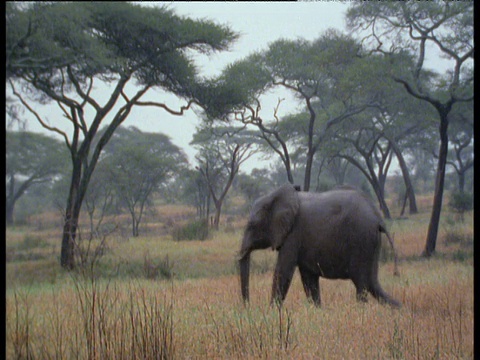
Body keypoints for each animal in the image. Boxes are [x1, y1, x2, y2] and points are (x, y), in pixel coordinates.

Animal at [238, 184, 400, 308]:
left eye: (252, 226)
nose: (248, 307)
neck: (275, 196)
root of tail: (378, 218)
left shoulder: (293, 233)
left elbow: (283, 271)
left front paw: (272, 312)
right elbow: (308, 278)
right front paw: (317, 310)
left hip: (361, 240)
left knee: (361, 282)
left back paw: (361, 310)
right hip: (370, 242)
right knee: (371, 283)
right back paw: (399, 308)